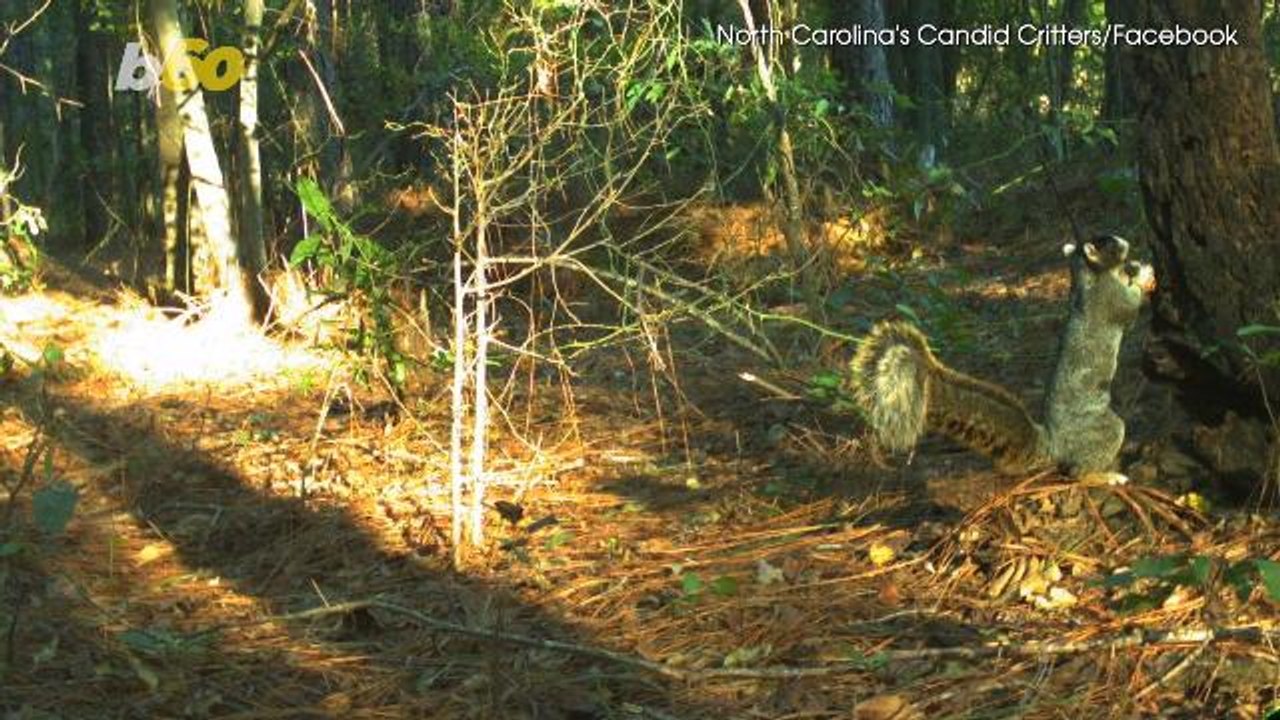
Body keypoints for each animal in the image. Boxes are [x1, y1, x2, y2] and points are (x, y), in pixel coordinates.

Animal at [849, 235, 1156, 477]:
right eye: (1107, 243)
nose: (1126, 243)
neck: (1088, 276)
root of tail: (1054, 443)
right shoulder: (1110, 299)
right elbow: (1130, 308)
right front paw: (1142, 273)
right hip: (1102, 431)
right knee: (1078, 471)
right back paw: (1104, 477)